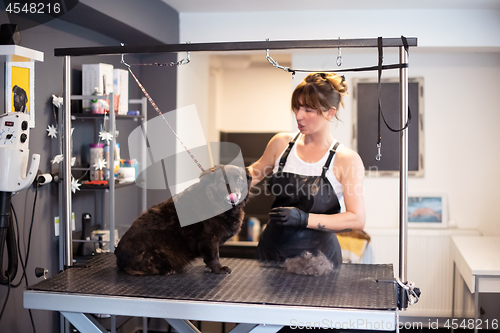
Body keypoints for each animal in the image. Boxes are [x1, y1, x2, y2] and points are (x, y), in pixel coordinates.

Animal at [115, 164, 252, 274]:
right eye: (223, 180)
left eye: (239, 181)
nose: (235, 194)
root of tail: (118, 255)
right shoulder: (210, 238)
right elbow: (214, 255)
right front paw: (218, 269)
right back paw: (168, 270)